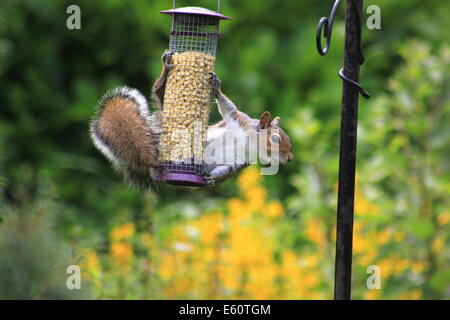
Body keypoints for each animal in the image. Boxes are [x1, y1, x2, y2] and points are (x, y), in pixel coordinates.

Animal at [90, 51, 296, 189]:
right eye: (275, 139)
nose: (290, 158)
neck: (249, 140)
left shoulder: (240, 160)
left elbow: (226, 170)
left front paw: (212, 179)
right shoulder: (237, 119)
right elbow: (227, 107)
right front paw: (217, 87)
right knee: (160, 95)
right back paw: (165, 73)